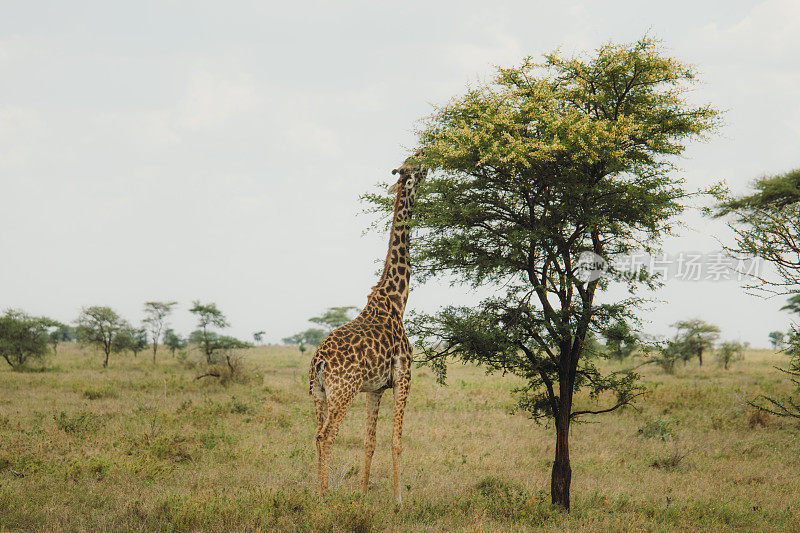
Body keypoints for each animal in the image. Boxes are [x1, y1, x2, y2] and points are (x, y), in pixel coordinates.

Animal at [310, 150, 428, 502]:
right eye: (413, 165)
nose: (426, 155)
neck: (397, 301)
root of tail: (318, 360)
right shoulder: (404, 375)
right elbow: (397, 441)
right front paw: (398, 501)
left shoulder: (374, 388)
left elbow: (369, 441)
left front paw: (363, 494)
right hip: (342, 391)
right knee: (327, 435)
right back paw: (322, 496)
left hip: (318, 394)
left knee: (316, 434)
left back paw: (316, 492)